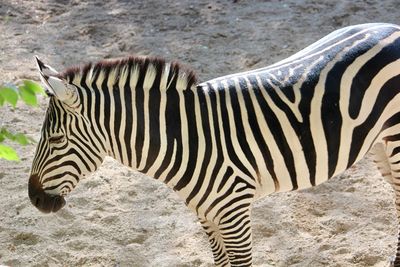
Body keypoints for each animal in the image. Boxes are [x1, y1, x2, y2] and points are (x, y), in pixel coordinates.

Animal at [29, 22, 400, 266]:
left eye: (57, 139)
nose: (33, 199)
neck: (185, 138)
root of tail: (389, 26)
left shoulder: (234, 213)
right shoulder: (206, 214)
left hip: (395, 138)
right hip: (380, 143)